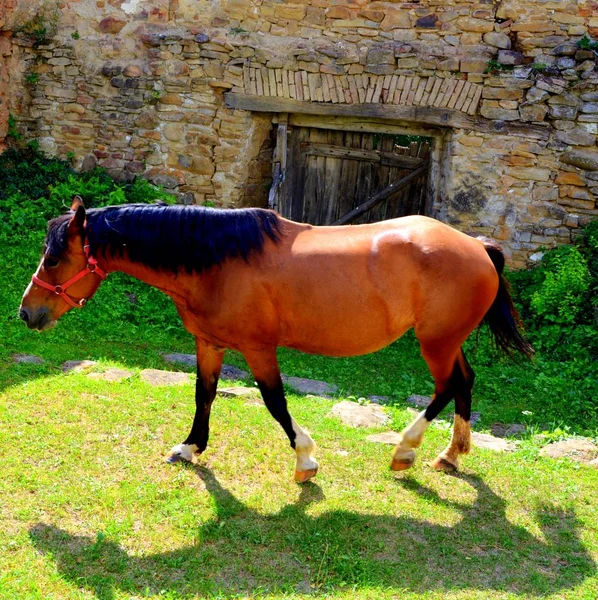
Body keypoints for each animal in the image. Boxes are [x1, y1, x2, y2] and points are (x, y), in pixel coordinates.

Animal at [18, 198, 536, 482]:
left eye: (55, 258)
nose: (27, 312)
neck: (218, 261)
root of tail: (477, 246)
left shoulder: (258, 349)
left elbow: (275, 402)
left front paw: (305, 459)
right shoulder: (210, 342)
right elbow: (204, 394)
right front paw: (190, 447)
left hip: (435, 342)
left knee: (447, 387)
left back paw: (405, 451)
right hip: (447, 340)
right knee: (465, 381)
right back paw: (450, 456)